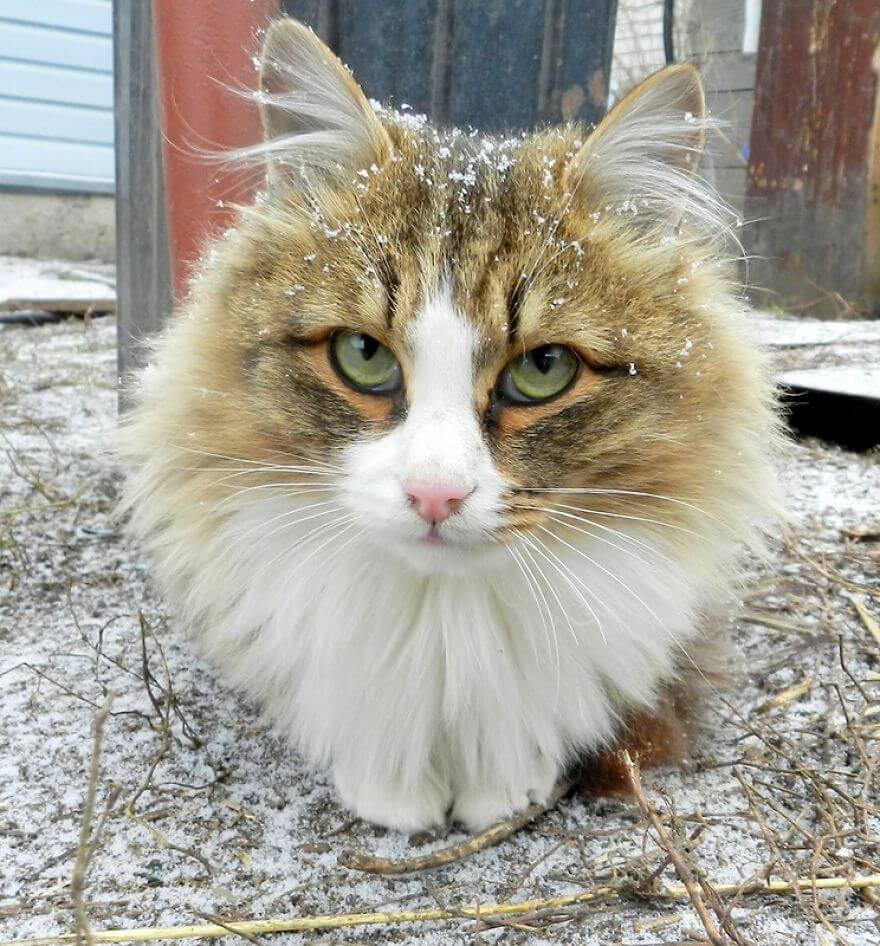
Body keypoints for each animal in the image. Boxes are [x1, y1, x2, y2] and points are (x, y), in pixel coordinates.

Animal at [120, 14, 780, 824]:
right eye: (363, 354)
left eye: (543, 369)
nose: (434, 495)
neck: (443, 621)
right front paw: (389, 794)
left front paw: (508, 789)